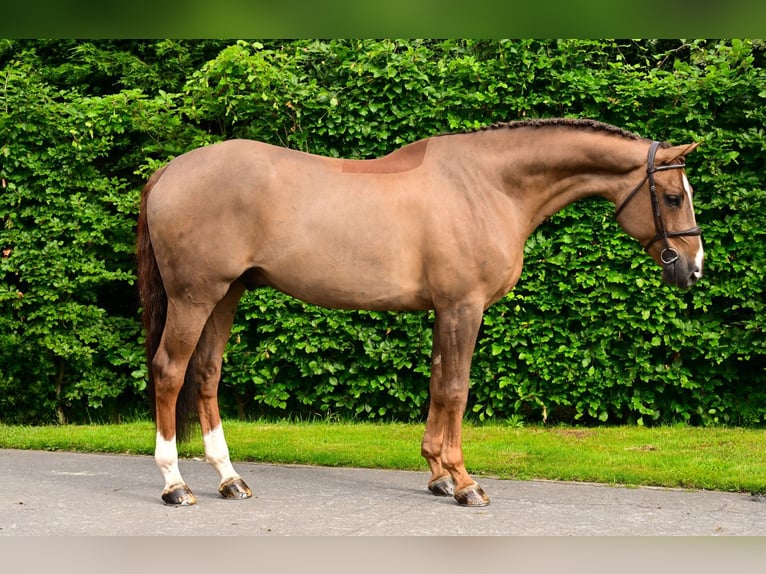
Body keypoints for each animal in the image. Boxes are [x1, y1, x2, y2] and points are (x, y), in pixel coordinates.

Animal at [136, 118, 703, 507]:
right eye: (673, 196)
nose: (694, 268)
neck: (488, 185)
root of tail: (168, 171)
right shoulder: (463, 307)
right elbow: (455, 389)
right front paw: (465, 482)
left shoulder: (444, 311)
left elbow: (436, 384)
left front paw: (439, 475)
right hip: (195, 296)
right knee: (169, 371)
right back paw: (175, 484)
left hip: (226, 294)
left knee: (206, 375)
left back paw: (229, 479)